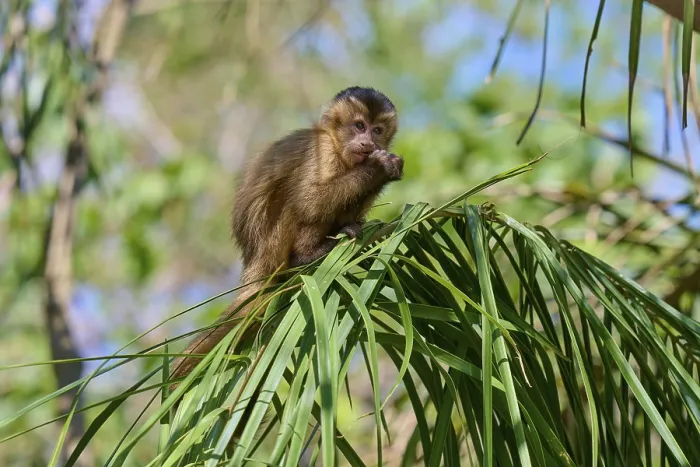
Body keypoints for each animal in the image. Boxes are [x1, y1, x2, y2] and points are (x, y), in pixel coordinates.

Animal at [168, 86, 403, 403]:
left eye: (377, 130)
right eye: (359, 126)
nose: (368, 142)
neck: (336, 143)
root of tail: (254, 263)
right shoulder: (322, 151)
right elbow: (310, 202)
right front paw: (379, 166)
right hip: (271, 245)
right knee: (296, 202)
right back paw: (306, 255)